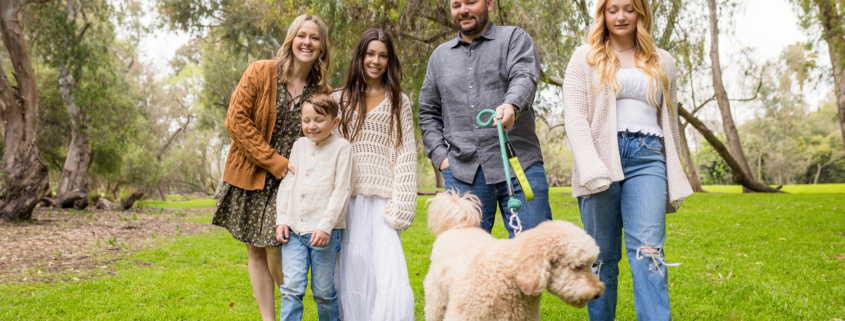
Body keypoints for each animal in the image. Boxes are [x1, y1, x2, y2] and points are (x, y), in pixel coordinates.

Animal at [426, 189, 604, 318]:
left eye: (592, 265)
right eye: (577, 267)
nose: (598, 292)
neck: (510, 274)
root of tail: (459, 225)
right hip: (436, 302)